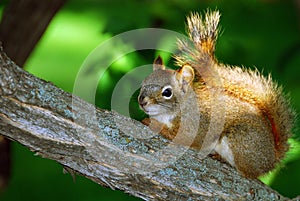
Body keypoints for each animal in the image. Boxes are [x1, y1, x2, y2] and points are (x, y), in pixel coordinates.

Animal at [138, 10, 296, 178]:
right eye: (144, 83)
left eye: (167, 92)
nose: (142, 101)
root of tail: (271, 159)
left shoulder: (194, 126)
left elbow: (179, 136)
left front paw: (153, 125)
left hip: (240, 140)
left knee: (247, 172)